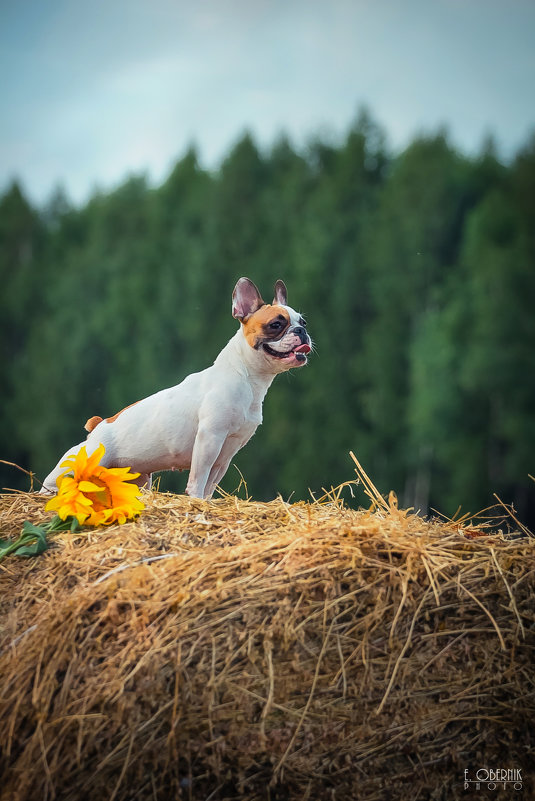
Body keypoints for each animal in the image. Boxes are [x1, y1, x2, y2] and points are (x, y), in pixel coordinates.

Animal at [44, 278, 316, 496]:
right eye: (276, 325)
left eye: (303, 322)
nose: (301, 331)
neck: (247, 378)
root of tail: (98, 426)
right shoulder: (209, 438)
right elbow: (199, 480)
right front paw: (195, 501)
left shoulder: (227, 451)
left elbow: (210, 485)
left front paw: (205, 504)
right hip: (76, 467)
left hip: (138, 479)